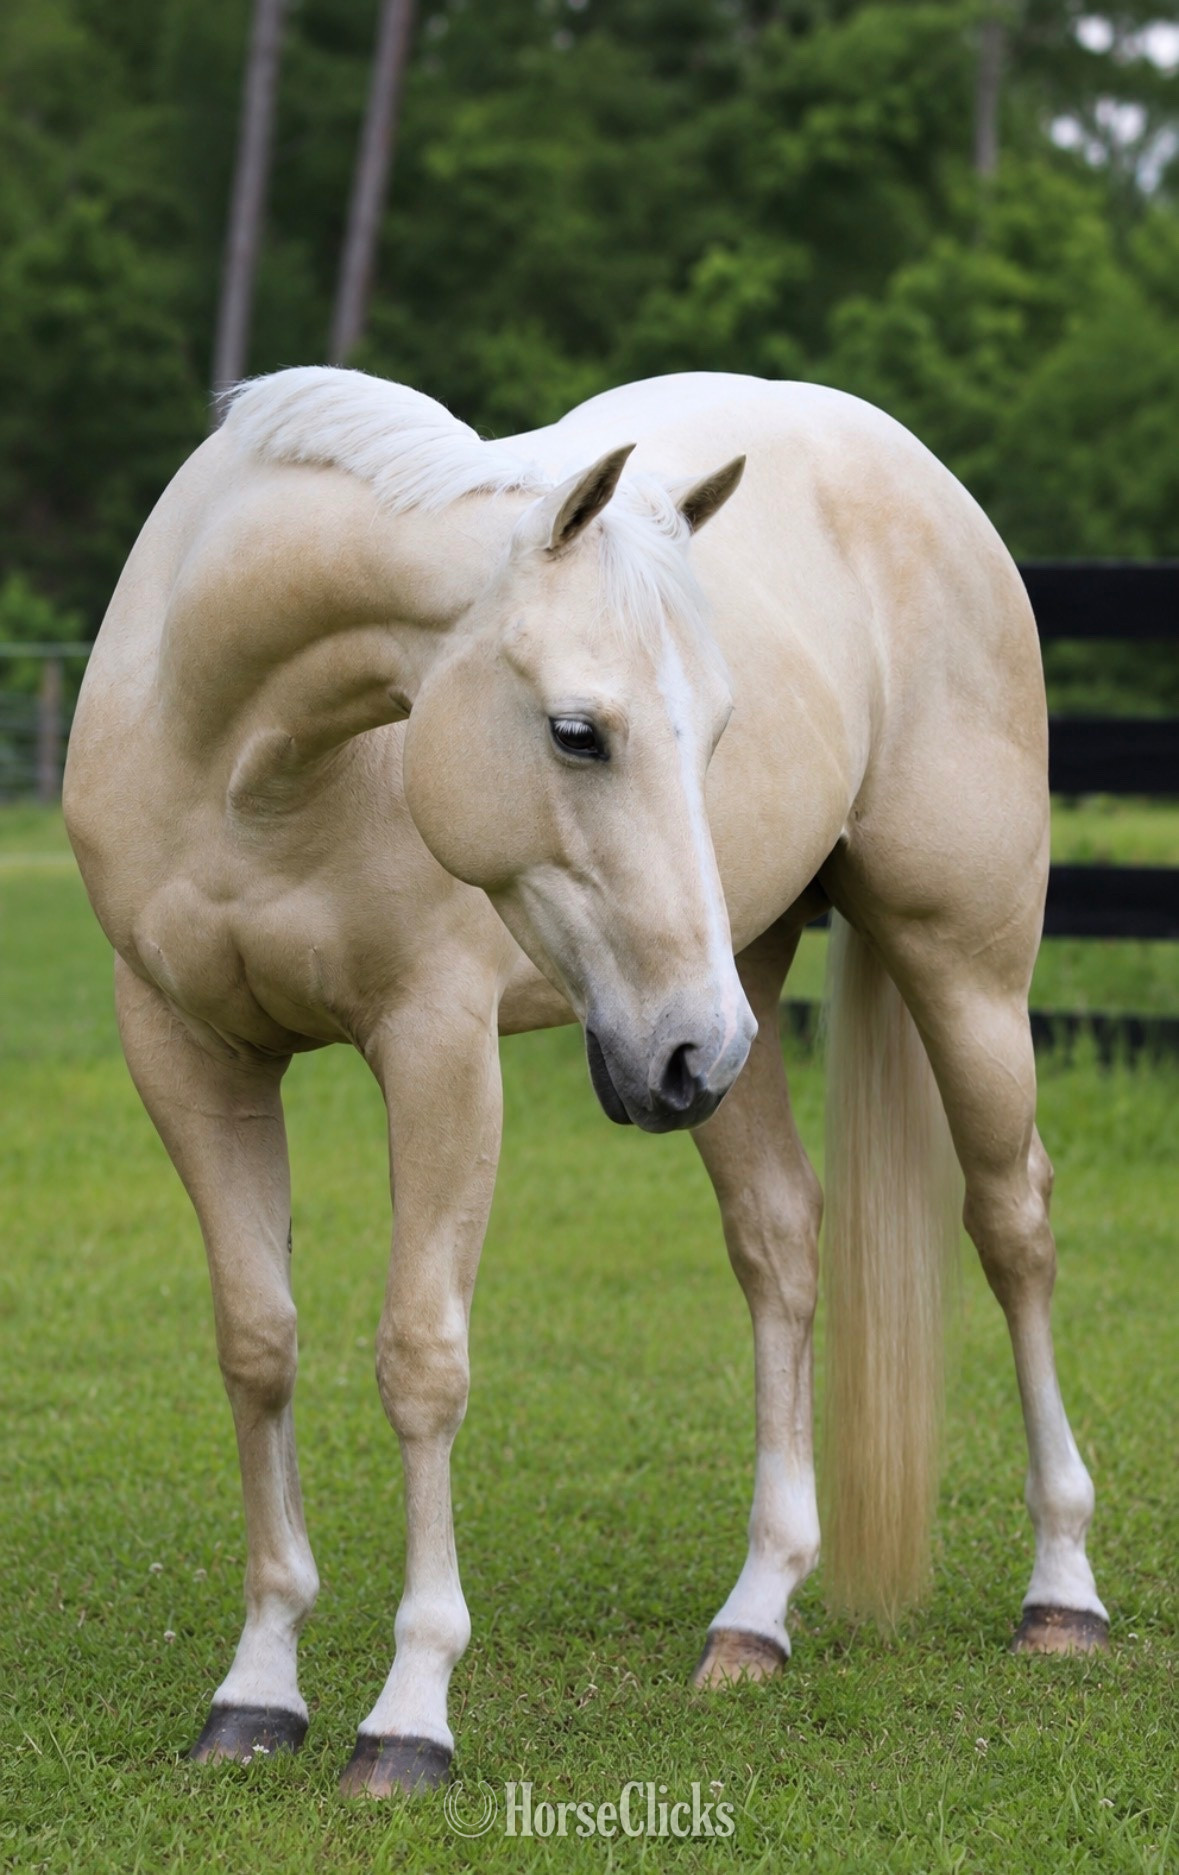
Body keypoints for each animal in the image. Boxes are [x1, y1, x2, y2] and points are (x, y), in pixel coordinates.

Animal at [63, 366, 1108, 1798]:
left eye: (715, 731)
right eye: (579, 734)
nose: (692, 1046)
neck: (244, 764)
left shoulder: (437, 1052)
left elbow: (421, 1360)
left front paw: (409, 1714)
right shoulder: (188, 1057)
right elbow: (257, 1347)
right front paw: (258, 1689)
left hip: (951, 972)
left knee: (1016, 1228)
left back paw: (1061, 1593)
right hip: (737, 996)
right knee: (779, 1241)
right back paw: (756, 1616)